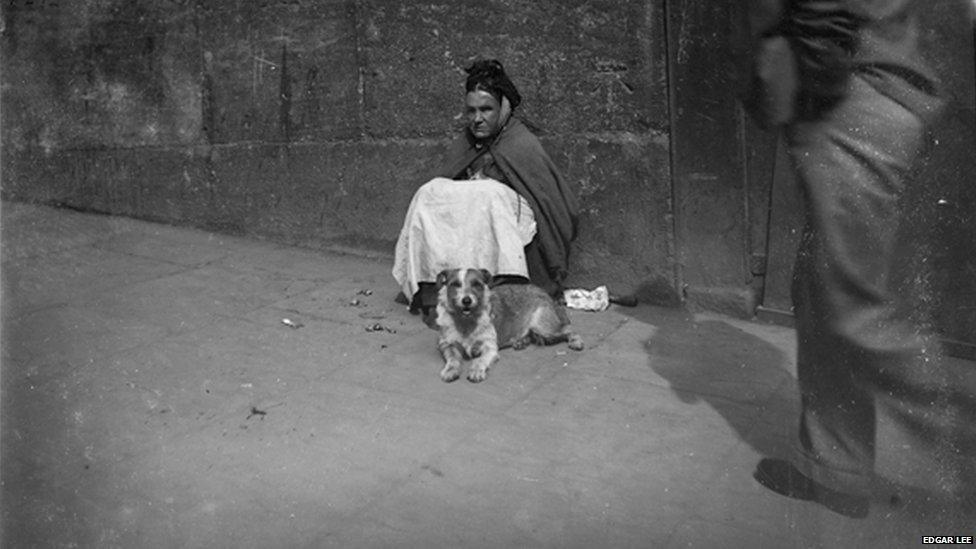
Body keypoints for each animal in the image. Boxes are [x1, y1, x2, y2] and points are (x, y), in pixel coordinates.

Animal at [432, 268, 580, 382]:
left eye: (476, 284)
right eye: (455, 284)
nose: (466, 300)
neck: (465, 321)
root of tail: (543, 292)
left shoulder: (489, 348)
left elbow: (480, 360)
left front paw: (476, 370)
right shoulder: (447, 345)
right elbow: (452, 359)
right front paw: (450, 370)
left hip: (543, 327)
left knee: (569, 328)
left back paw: (576, 341)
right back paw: (521, 342)